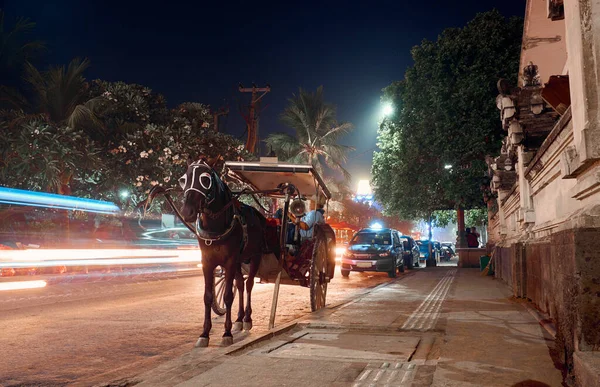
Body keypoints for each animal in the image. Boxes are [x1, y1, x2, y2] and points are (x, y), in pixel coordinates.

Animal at [178, 158, 270, 348]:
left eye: (205, 179)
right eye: (183, 179)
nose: (187, 212)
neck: (216, 225)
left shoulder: (229, 261)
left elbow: (228, 296)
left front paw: (226, 333)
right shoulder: (207, 262)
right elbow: (207, 296)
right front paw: (204, 334)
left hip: (254, 257)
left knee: (249, 284)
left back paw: (247, 318)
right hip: (239, 261)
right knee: (240, 285)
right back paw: (239, 319)